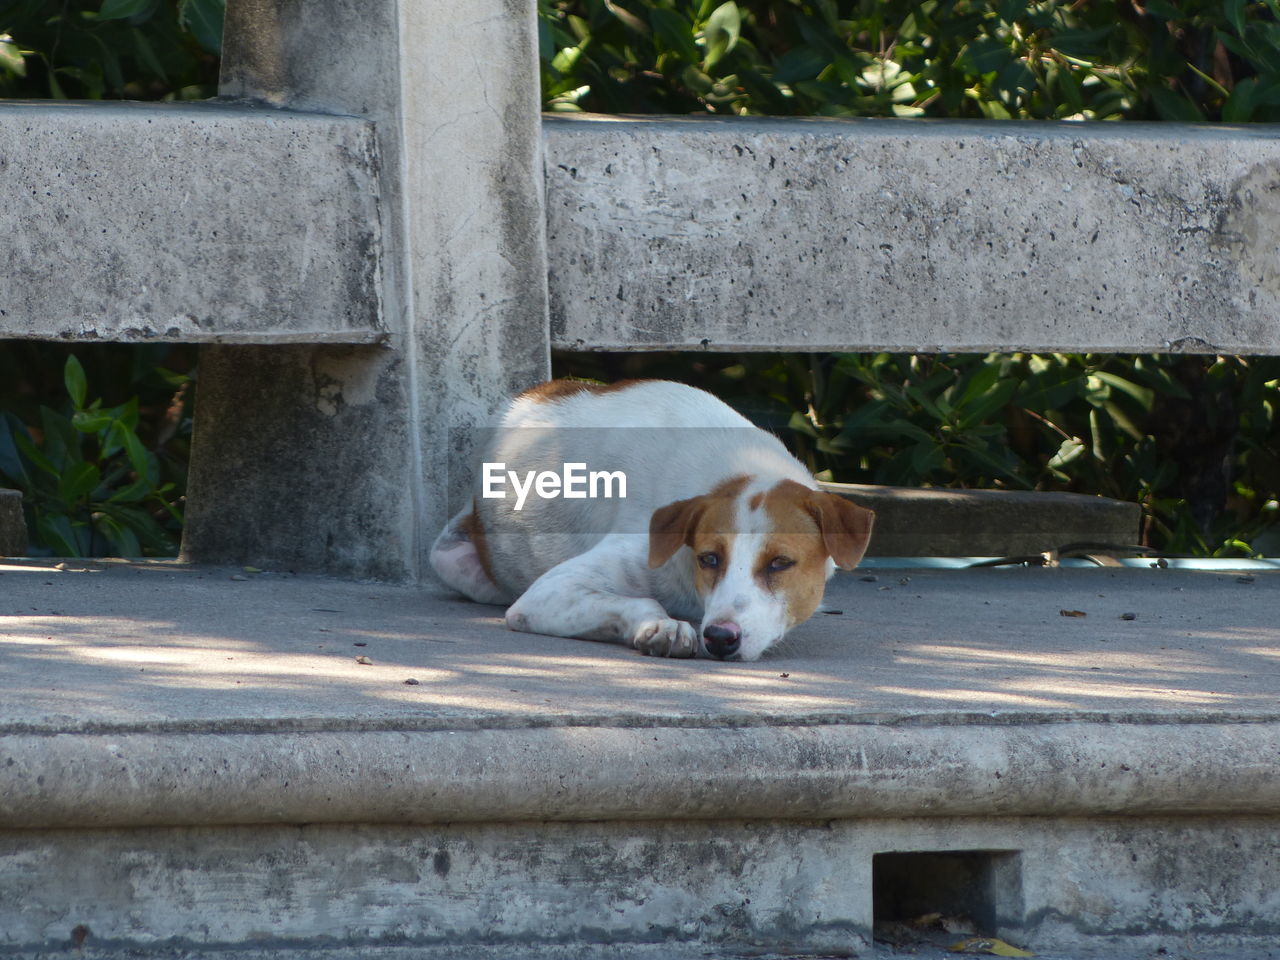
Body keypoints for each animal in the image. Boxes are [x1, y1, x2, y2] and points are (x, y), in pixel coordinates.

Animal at [427, 378, 870, 665]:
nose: (720, 638)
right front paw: (663, 627)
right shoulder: (549, 593)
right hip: (452, 561)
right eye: (709, 558)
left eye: (780, 563)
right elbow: (638, 600)